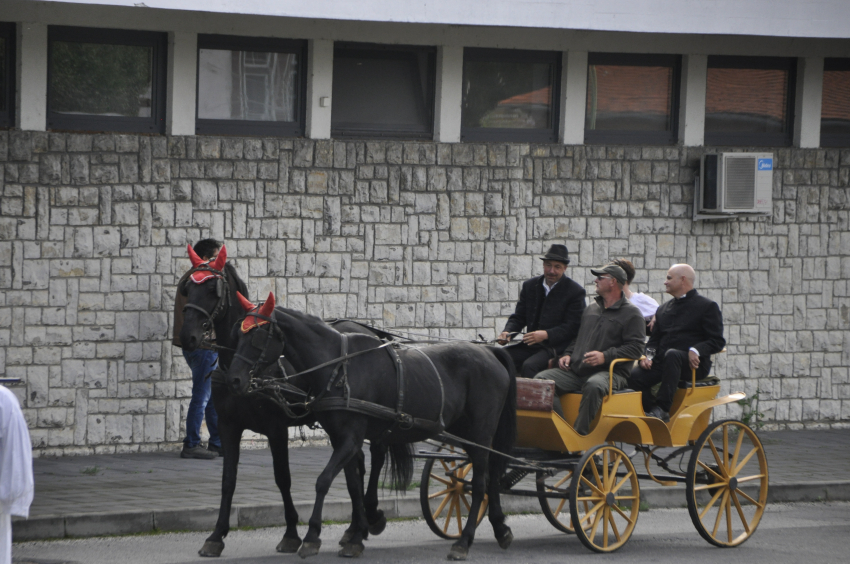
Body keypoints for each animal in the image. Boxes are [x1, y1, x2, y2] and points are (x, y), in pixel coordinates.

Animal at [177, 245, 396, 556]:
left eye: (211, 289)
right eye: (187, 288)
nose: (188, 336)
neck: (243, 366)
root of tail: (369, 331)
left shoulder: (276, 428)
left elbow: (283, 478)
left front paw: (292, 533)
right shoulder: (229, 426)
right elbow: (228, 480)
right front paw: (216, 536)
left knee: (375, 455)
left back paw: (371, 516)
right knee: (356, 463)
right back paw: (355, 528)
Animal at [227, 294, 516, 560]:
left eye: (257, 336)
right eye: (237, 334)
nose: (235, 380)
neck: (339, 365)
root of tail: (490, 352)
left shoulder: (351, 438)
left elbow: (323, 481)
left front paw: (312, 536)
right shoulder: (340, 439)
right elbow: (353, 484)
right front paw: (356, 535)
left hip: (481, 432)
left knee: (479, 483)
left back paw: (464, 541)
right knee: (490, 476)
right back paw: (500, 528)